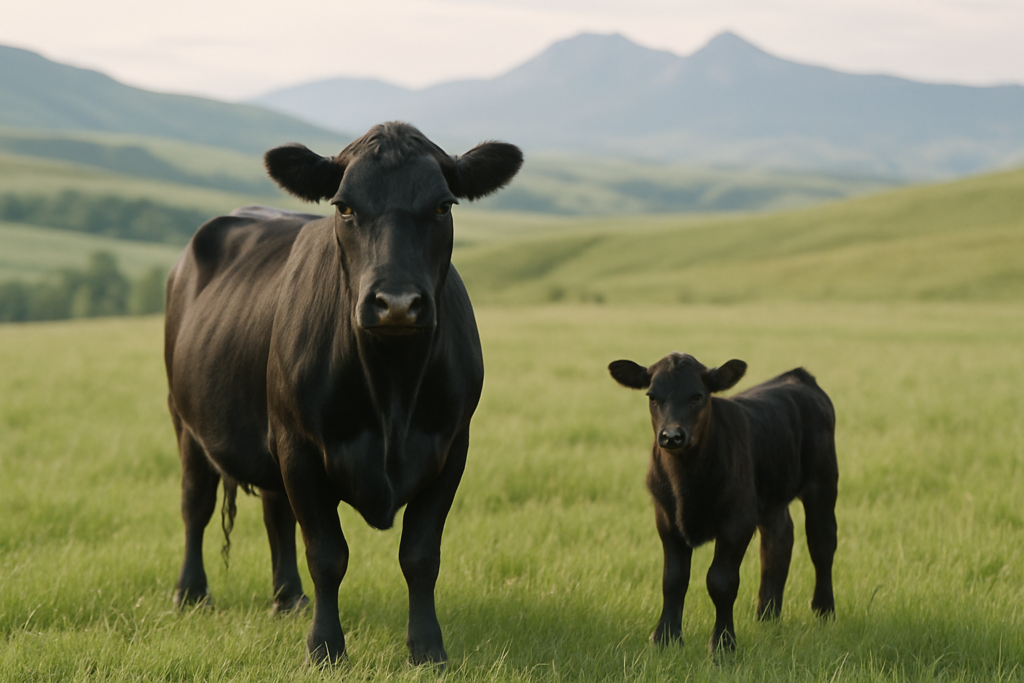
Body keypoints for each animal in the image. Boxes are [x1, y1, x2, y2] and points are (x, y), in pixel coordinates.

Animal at [164, 122, 522, 666]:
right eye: (345, 207)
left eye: (443, 205)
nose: (396, 303)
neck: (392, 391)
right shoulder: (300, 447)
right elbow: (327, 554)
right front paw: (325, 648)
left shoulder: (452, 447)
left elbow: (421, 556)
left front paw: (427, 649)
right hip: (186, 420)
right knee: (195, 503)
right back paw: (191, 593)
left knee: (274, 513)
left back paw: (288, 599)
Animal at [608, 352, 838, 653]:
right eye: (652, 396)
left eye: (697, 396)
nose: (671, 436)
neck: (686, 484)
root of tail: (798, 377)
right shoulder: (666, 520)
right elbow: (673, 579)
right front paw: (665, 638)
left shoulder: (737, 522)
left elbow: (721, 582)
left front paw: (723, 645)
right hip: (771, 496)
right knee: (778, 541)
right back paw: (767, 616)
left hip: (823, 482)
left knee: (822, 543)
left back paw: (824, 612)